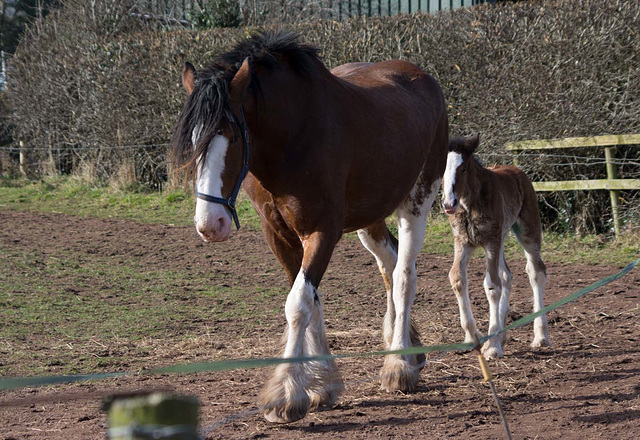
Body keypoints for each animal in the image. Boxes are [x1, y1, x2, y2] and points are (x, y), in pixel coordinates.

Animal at [172, 30, 448, 422]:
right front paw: (322, 385)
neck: (293, 137)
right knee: (389, 264)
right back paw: (411, 346)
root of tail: (421, 77)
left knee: (404, 275)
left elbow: (299, 303)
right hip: (370, 219)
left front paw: (286, 394)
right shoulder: (279, 236)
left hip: (418, 201)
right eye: (194, 140)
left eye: (232, 135)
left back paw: (399, 365)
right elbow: (308, 300)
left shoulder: (321, 233)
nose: (211, 224)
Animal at [440, 136, 552, 360]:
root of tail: (517, 170)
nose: (448, 203)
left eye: (463, 168)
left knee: (536, 272)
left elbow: (492, 286)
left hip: (527, 230)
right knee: (506, 274)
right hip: (501, 236)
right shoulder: (463, 241)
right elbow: (457, 277)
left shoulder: (490, 240)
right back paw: (502, 335)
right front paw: (473, 337)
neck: (469, 204)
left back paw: (540, 336)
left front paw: (491, 347)